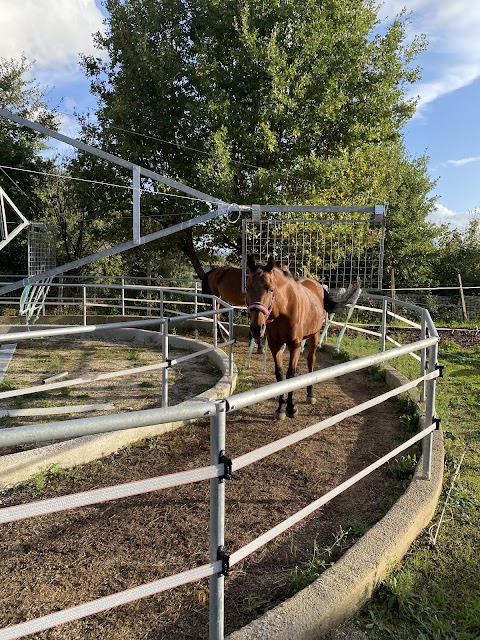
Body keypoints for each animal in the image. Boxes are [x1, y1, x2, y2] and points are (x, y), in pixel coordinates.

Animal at [248, 255, 360, 420]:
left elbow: (290, 374)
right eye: (247, 288)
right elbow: (280, 375)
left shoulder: (294, 344)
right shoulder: (275, 345)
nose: (257, 328)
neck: (283, 309)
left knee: (310, 362)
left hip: (314, 336)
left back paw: (310, 394)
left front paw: (291, 408)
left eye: (270, 288)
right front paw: (281, 408)